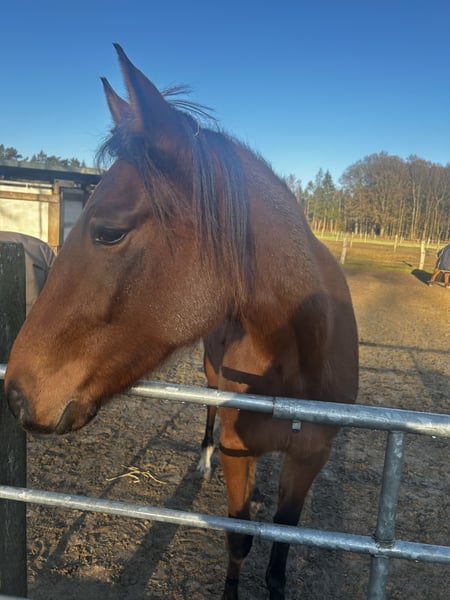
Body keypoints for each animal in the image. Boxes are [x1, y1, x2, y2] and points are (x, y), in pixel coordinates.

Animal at [5, 45, 358, 600]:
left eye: (108, 232)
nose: (16, 394)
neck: (299, 361)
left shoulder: (311, 459)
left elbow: (279, 560)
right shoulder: (238, 450)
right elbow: (238, 540)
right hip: (212, 382)